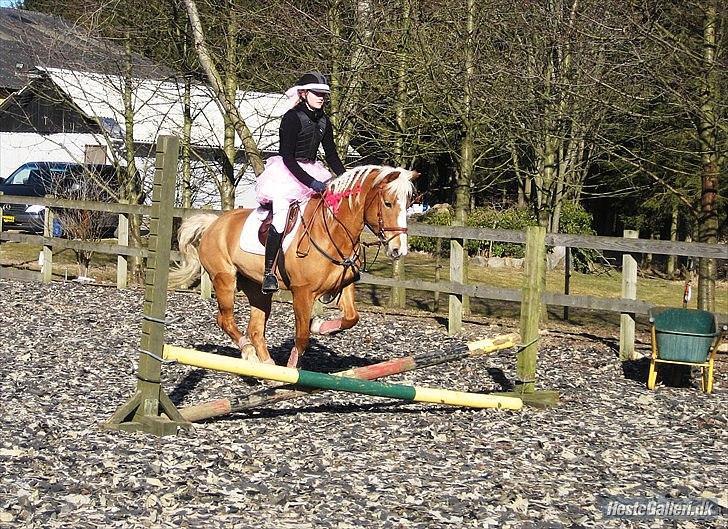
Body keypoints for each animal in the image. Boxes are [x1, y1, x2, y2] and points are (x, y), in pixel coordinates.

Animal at [168, 165, 418, 368]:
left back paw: (267, 365)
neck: (332, 231)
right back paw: (250, 355)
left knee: (255, 329)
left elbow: (351, 318)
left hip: (257, 289)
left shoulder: (345, 286)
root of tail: (214, 223)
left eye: (407, 205)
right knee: (225, 320)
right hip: (225, 280)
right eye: (388, 203)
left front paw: (319, 326)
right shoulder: (302, 292)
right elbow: (302, 337)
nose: (399, 250)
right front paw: (292, 369)